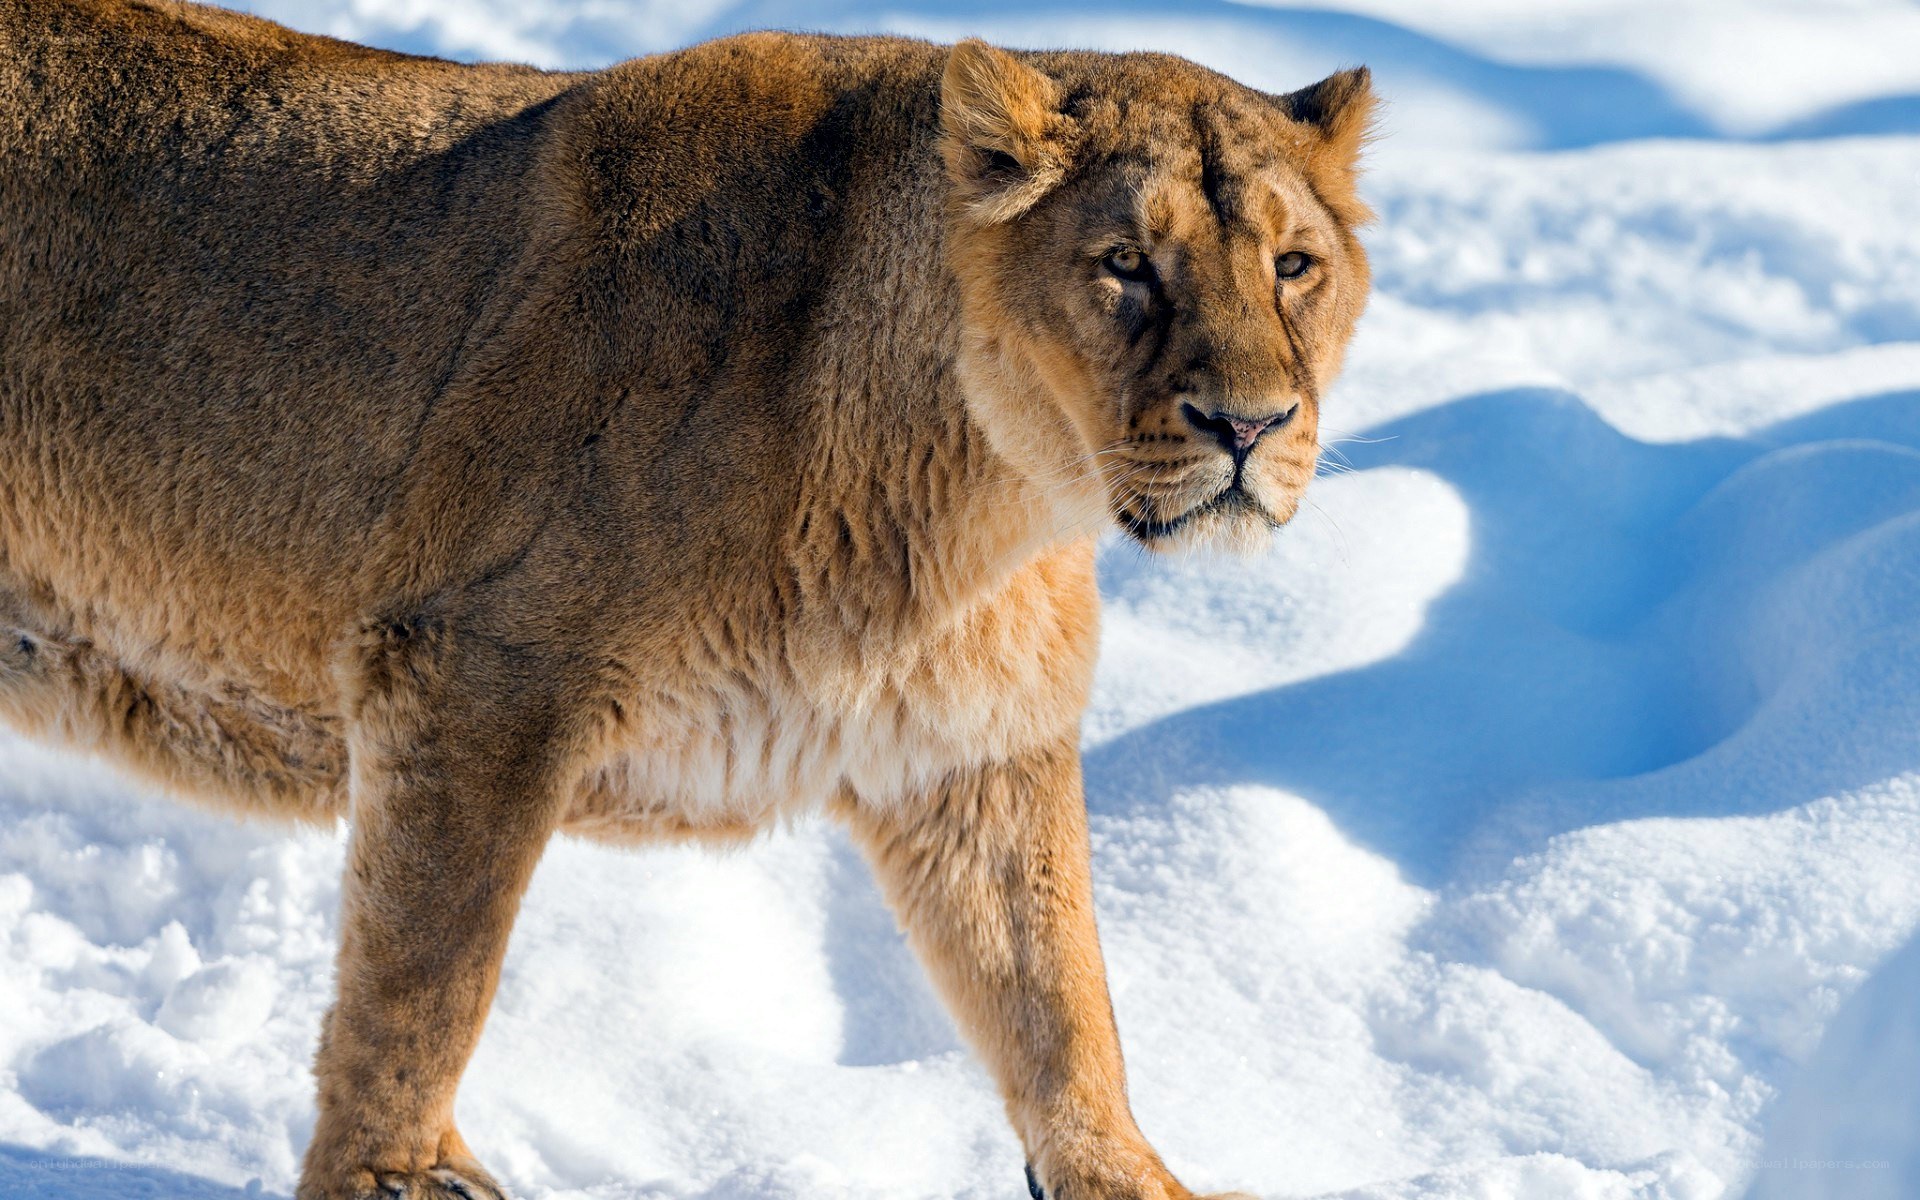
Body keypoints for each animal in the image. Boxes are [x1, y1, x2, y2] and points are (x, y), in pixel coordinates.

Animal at [0, 2, 1375, 1196]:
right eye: (1127, 265)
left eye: (1294, 265)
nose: (1250, 426)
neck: (992, 502)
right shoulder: (473, 670)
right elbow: (427, 974)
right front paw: (387, 1176)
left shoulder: (970, 746)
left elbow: (1058, 995)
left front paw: (1118, 1173)